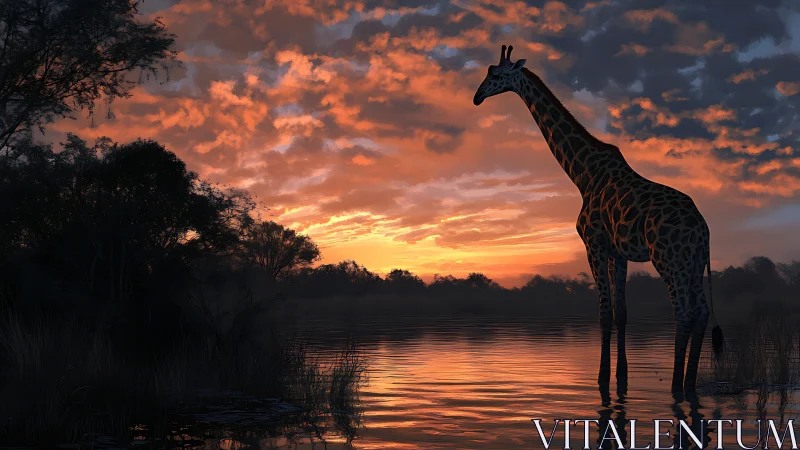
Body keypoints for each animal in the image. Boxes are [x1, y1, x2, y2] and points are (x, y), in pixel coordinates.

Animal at [473, 45, 724, 393]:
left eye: (495, 75)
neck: (582, 173)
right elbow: (621, 314)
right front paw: (622, 378)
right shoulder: (619, 253)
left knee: (684, 314)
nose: (476, 97)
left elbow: (604, 313)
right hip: (694, 262)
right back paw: (687, 384)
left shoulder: (593, 243)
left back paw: (676, 386)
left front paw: (602, 378)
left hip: (669, 260)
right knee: (700, 312)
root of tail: (704, 229)